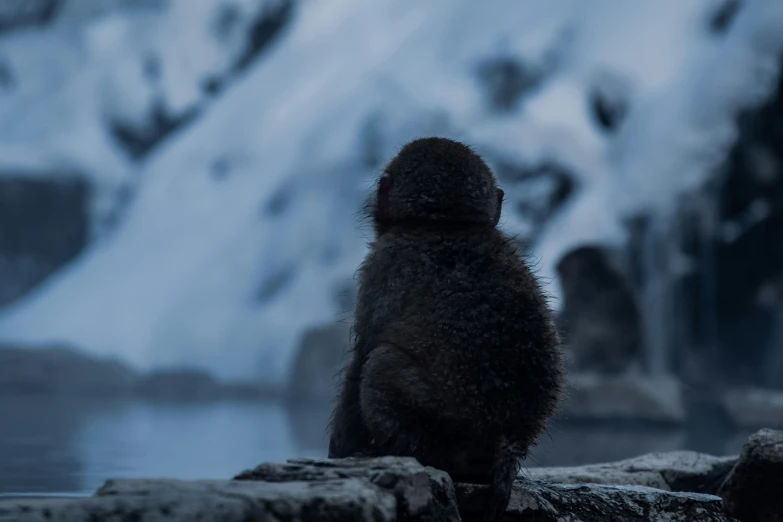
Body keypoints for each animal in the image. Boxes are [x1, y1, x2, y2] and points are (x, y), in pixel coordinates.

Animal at [330, 136, 564, 516]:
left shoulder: (383, 264)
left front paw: (340, 450)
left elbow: (361, 353)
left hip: (443, 425)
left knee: (380, 362)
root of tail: (508, 441)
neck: (447, 225)